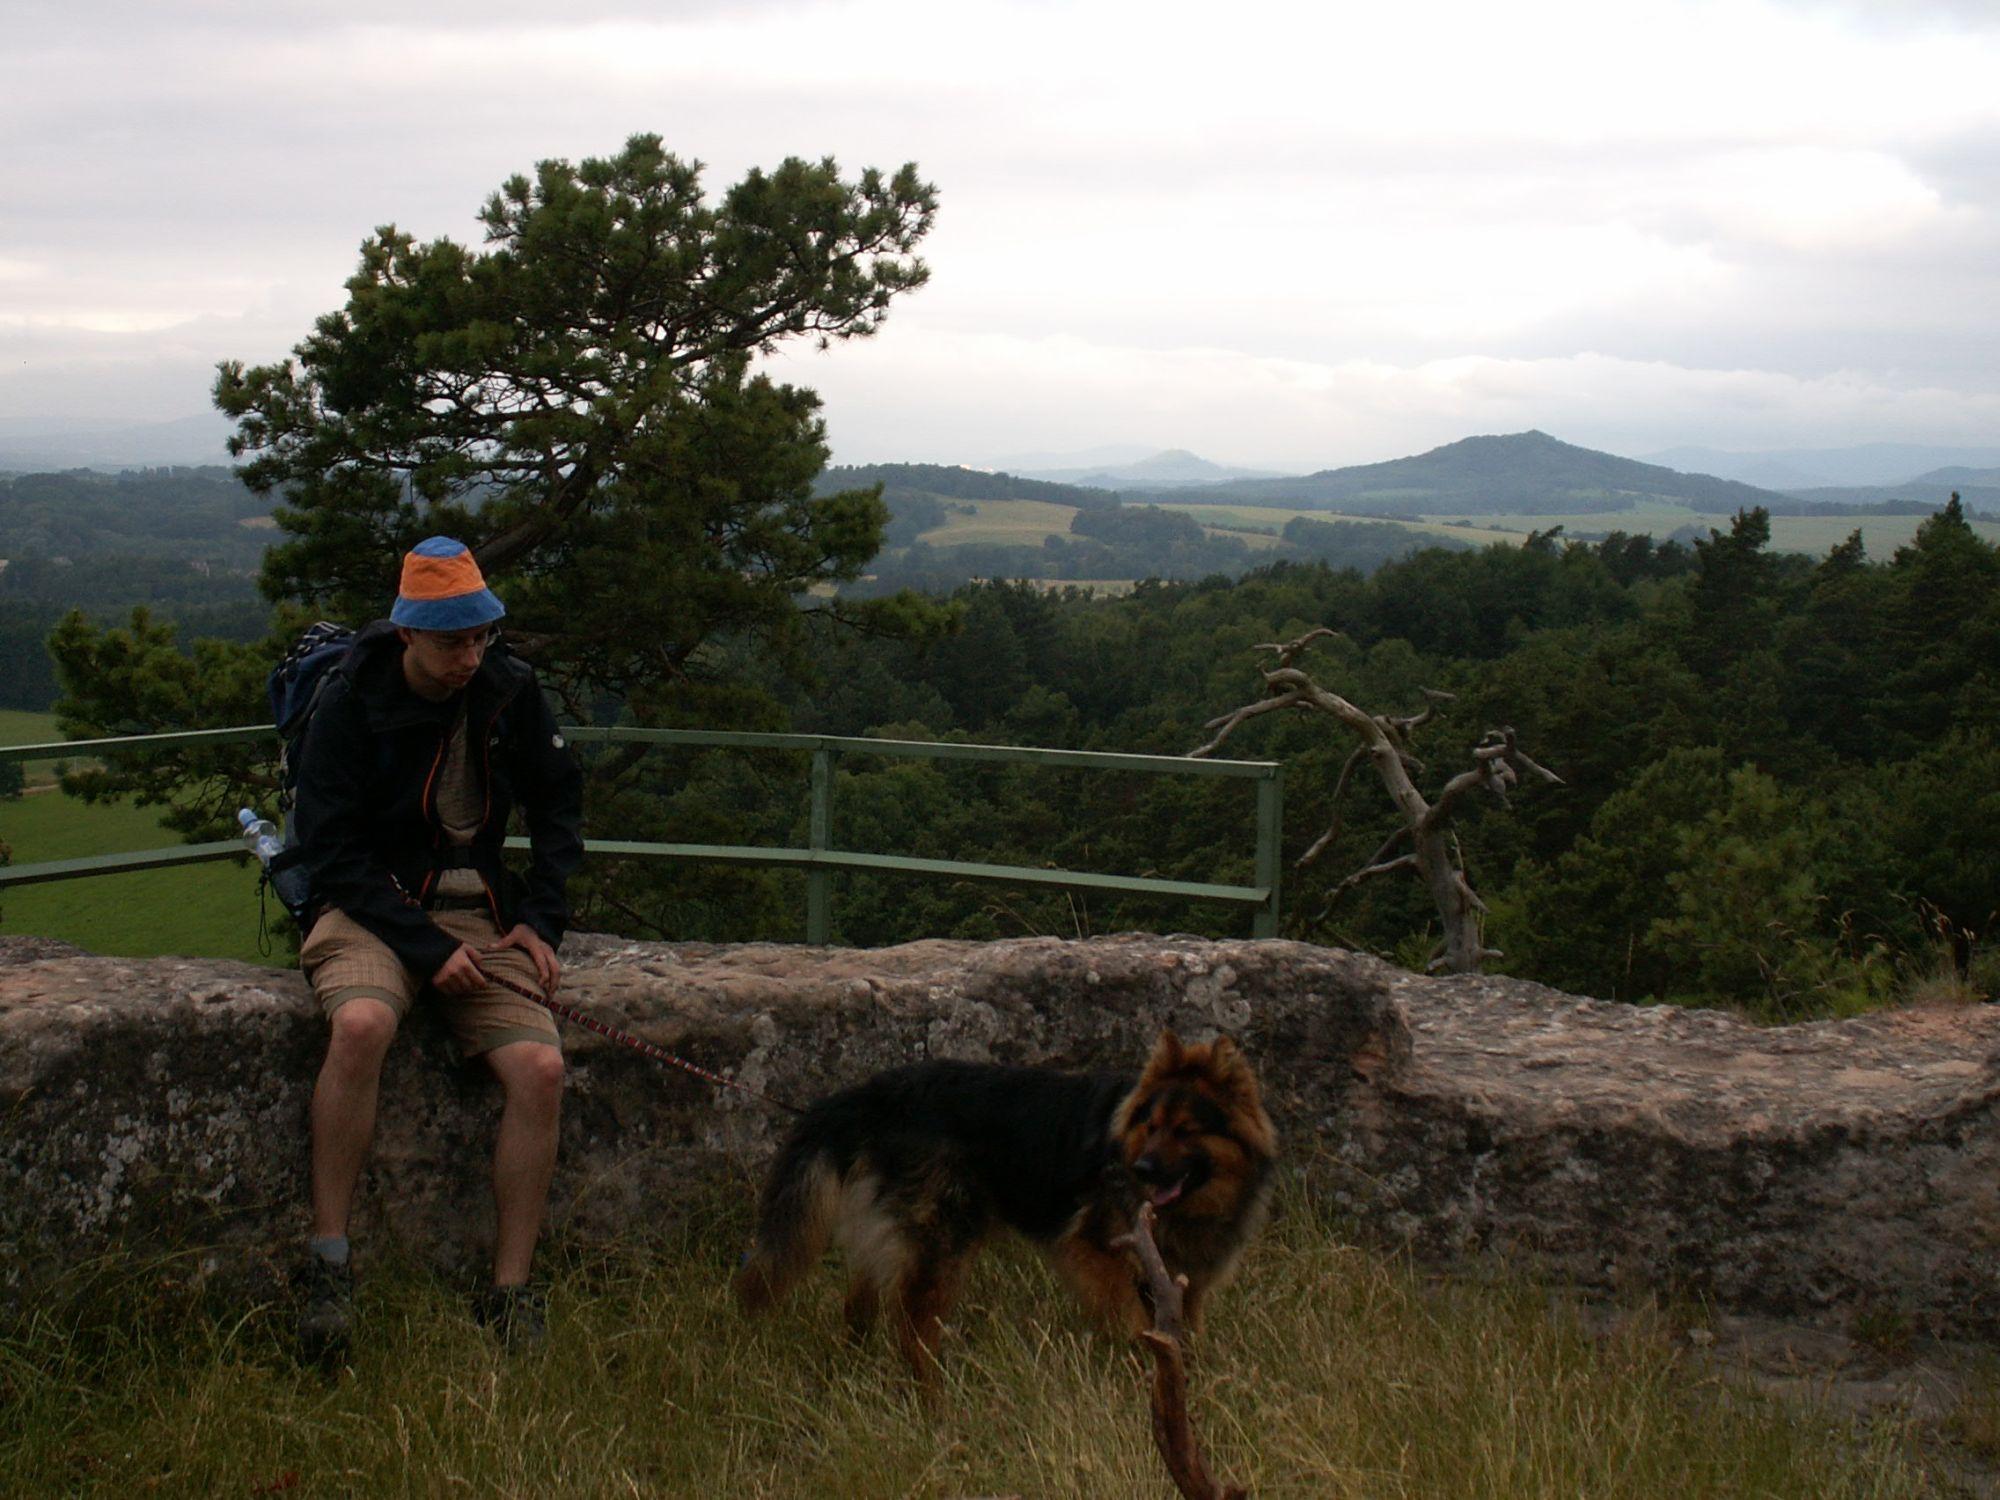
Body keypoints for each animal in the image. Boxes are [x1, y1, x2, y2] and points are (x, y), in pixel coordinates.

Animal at [734, 1031, 1277, 1373]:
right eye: (1152, 1124)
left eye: (1185, 1131)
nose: (1137, 1170)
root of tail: (872, 1095)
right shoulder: (1092, 1251)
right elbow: (1135, 1321)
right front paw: (1147, 1366)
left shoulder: (1185, 1282)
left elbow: (1181, 1331)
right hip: (941, 1242)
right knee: (911, 1330)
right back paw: (930, 1401)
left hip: (892, 1236)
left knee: (861, 1307)